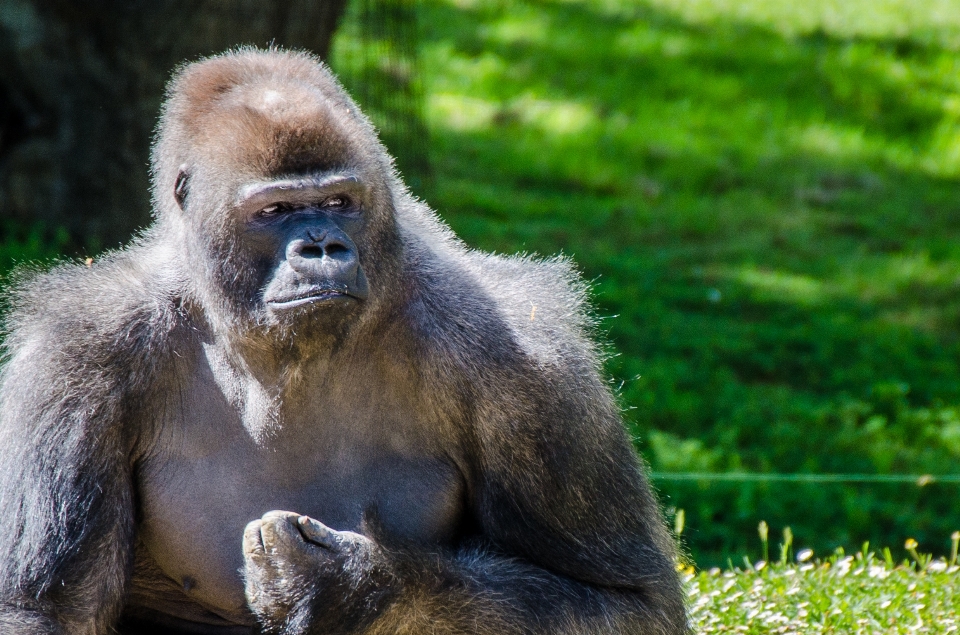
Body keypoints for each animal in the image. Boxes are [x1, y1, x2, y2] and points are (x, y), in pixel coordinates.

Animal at [0, 51, 688, 635]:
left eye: (339, 201)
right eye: (275, 211)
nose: (323, 248)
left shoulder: (529, 369)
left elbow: (629, 600)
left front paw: (347, 584)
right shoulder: (76, 357)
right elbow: (40, 610)